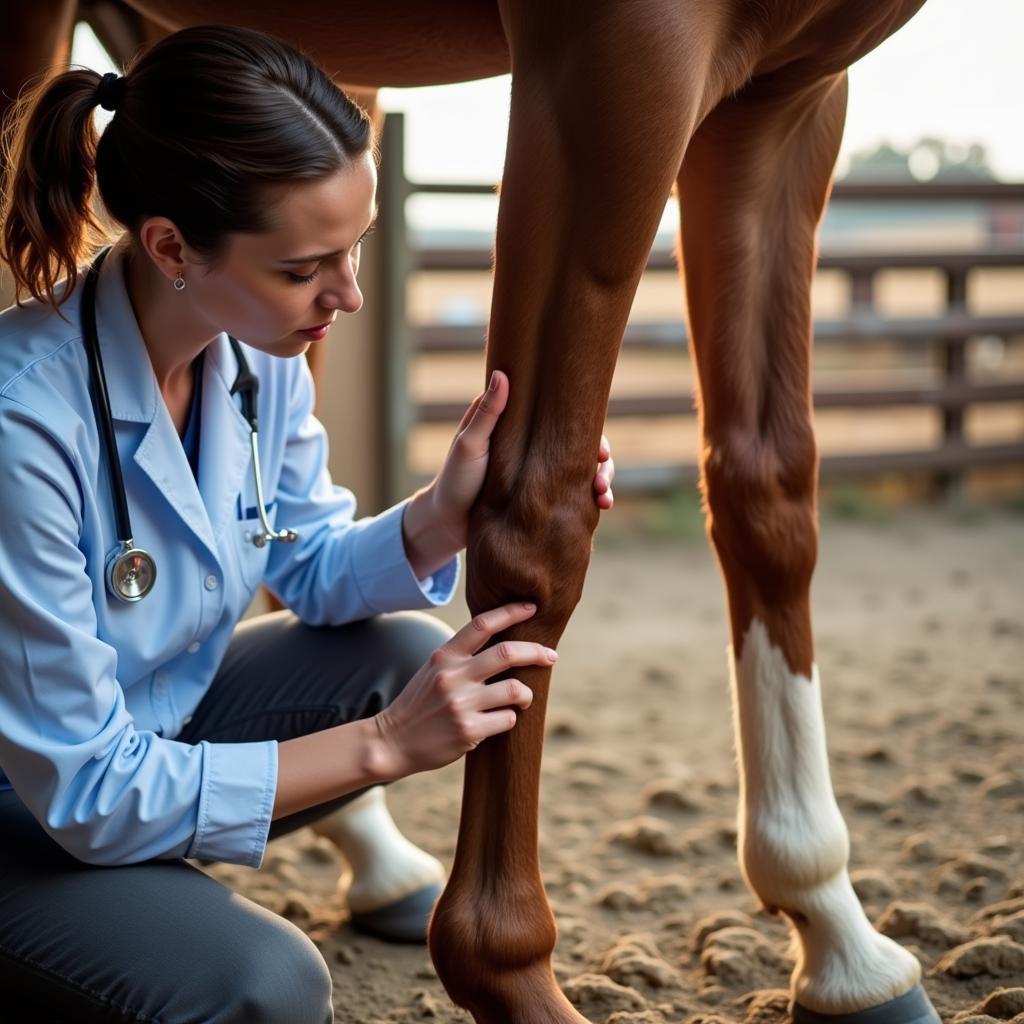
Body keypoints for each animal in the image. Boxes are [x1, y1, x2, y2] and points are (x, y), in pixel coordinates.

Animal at [4, 4, 937, 1019]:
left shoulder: (787, 102)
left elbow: (768, 488)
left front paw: (839, 940)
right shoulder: (609, 61)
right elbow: (536, 511)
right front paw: (507, 969)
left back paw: (377, 857)